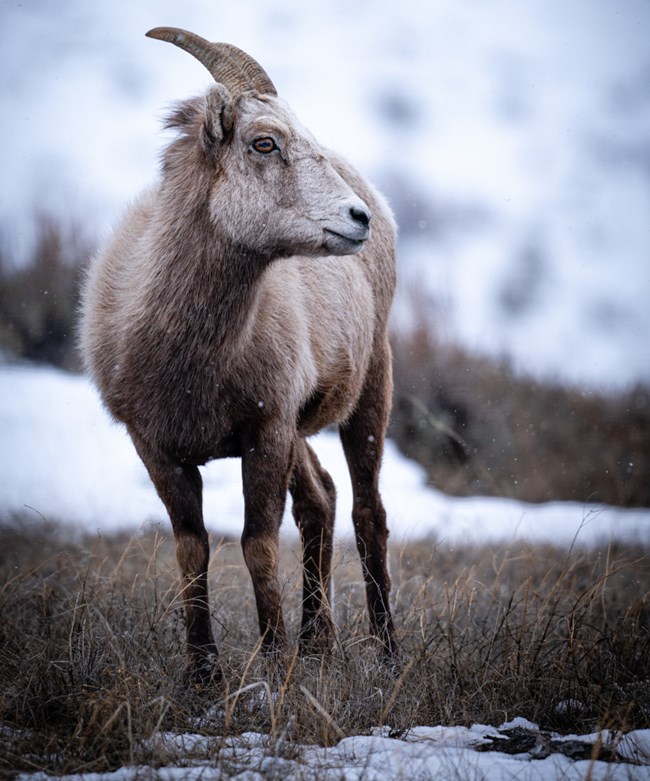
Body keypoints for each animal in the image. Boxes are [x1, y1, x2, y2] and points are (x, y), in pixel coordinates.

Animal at [79, 27, 394, 680]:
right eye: (264, 142)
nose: (357, 218)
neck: (189, 363)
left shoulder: (263, 433)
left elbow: (258, 546)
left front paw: (272, 663)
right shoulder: (159, 449)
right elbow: (191, 550)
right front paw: (203, 672)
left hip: (369, 389)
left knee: (366, 513)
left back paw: (385, 653)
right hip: (302, 427)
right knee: (322, 500)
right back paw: (318, 644)